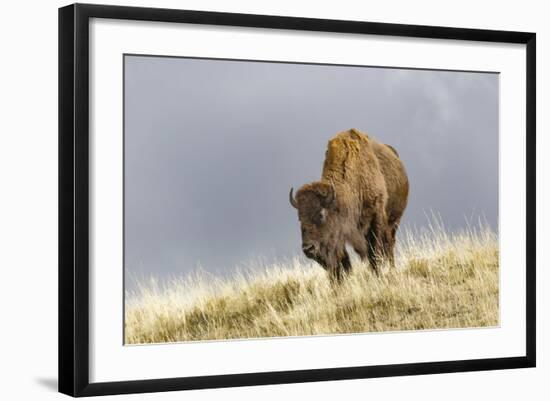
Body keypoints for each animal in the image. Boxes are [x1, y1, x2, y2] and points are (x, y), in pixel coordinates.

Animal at [288, 128, 410, 278]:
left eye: (321, 214)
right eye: (300, 218)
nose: (308, 248)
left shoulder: (376, 217)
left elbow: (374, 251)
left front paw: (377, 273)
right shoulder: (341, 233)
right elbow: (343, 260)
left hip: (394, 221)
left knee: (389, 244)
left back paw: (392, 268)